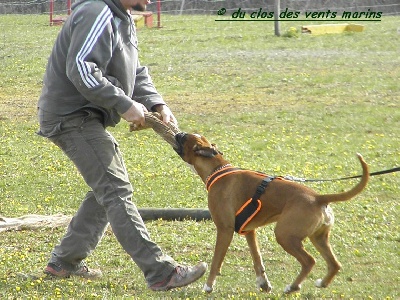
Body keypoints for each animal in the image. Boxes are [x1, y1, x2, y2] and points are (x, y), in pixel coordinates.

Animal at [173, 132, 370, 294]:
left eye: (184, 138)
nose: (177, 133)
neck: (217, 169)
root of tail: (318, 198)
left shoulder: (224, 229)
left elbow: (216, 261)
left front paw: (208, 286)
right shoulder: (249, 231)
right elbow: (257, 259)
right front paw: (263, 283)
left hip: (284, 235)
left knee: (309, 261)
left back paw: (292, 287)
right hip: (318, 238)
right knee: (334, 264)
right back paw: (322, 283)